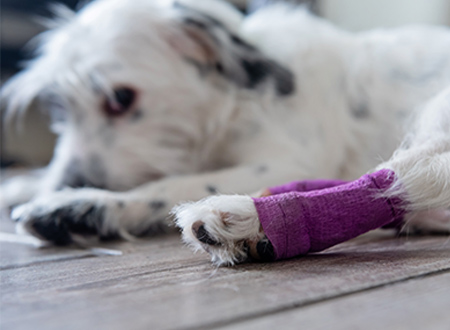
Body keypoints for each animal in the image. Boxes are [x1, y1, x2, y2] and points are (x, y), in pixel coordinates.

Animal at [0, 0, 450, 262]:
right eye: (60, 106)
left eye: (120, 98)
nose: (69, 182)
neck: (234, 99)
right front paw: (30, 186)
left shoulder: (284, 162)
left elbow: (171, 184)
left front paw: (83, 203)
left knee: (399, 182)